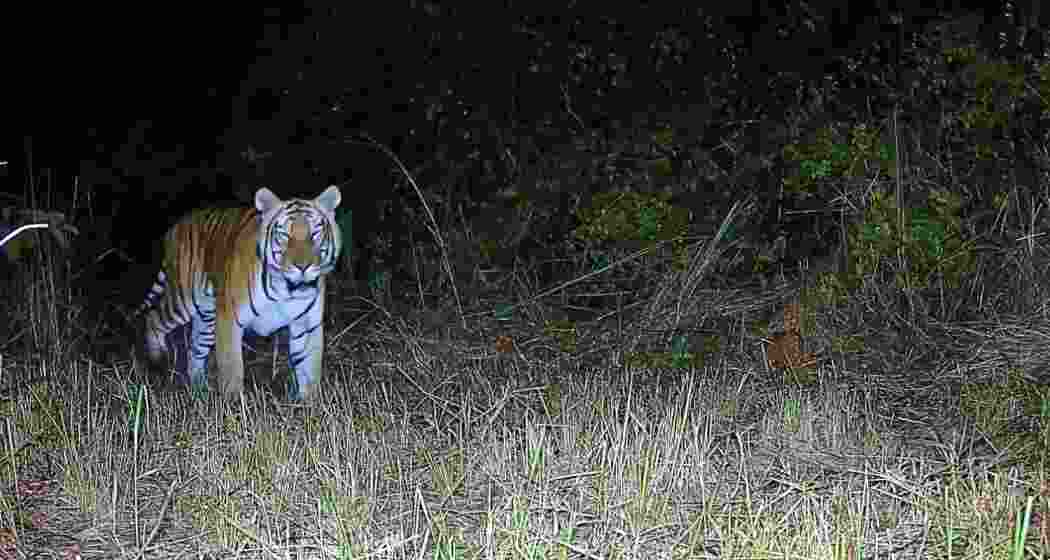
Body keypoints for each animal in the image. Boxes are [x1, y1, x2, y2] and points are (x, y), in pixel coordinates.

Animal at [140, 186, 342, 400]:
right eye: (284, 235)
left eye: (315, 233)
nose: (303, 267)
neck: (286, 290)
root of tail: (176, 226)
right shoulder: (229, 320)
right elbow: (232, 369)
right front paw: (233, 404)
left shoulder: (308, 325)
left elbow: (310, 369)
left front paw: (309, 403)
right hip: (184, 298)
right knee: (153, 318)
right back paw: (157, 362)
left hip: (207, 316)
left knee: (195, 350)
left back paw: (199, 390)